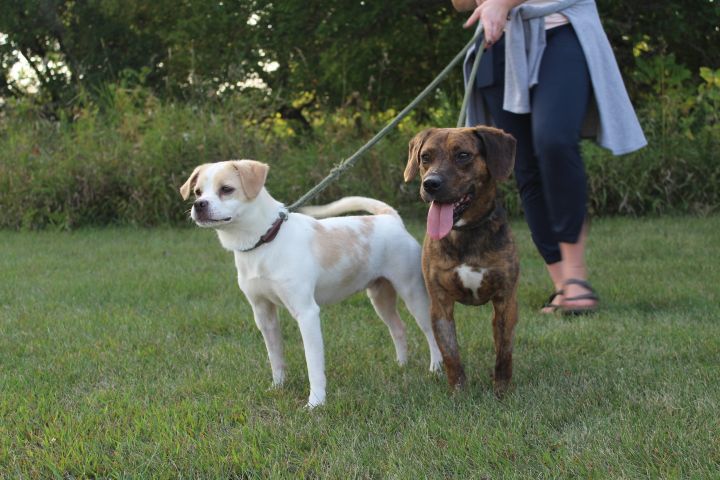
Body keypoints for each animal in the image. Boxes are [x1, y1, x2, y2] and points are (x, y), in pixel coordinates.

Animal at [180, 160, 442, 407]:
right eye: (197, 192)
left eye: (226, 189)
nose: (199, 205)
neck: (264, 242)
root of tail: (390, 218)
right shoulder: (263, 313)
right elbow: (275, 356)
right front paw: (278, 387)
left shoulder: (306, 313)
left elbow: (313, 364)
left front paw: (315, 403)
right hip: (380, 296)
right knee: (398, 328)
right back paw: (401, 365)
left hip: (412, 293)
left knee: (430, 332)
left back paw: (436, 367)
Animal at [404, 126, 519, 395]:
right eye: (425, 157)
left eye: (463, 155)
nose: (430, 184)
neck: (465, 232)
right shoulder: (440, 303)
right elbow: (450, 354)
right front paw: (459, 391)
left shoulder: (505, 300)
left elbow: (504, 351)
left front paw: (501, 390)